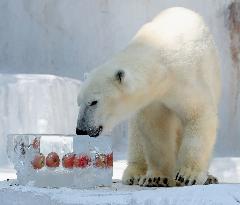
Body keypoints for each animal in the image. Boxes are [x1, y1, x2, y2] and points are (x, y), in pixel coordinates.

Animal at [76, 7, 220, 187]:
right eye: (78, 102)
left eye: (94, 102)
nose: (81, 130)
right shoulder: (152, 99)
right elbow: (155, 128)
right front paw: (156, 178)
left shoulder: (188, 78)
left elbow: (198, 114)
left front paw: (188, 175)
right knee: (136, 136)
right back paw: (135, 174)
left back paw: (210, 177)